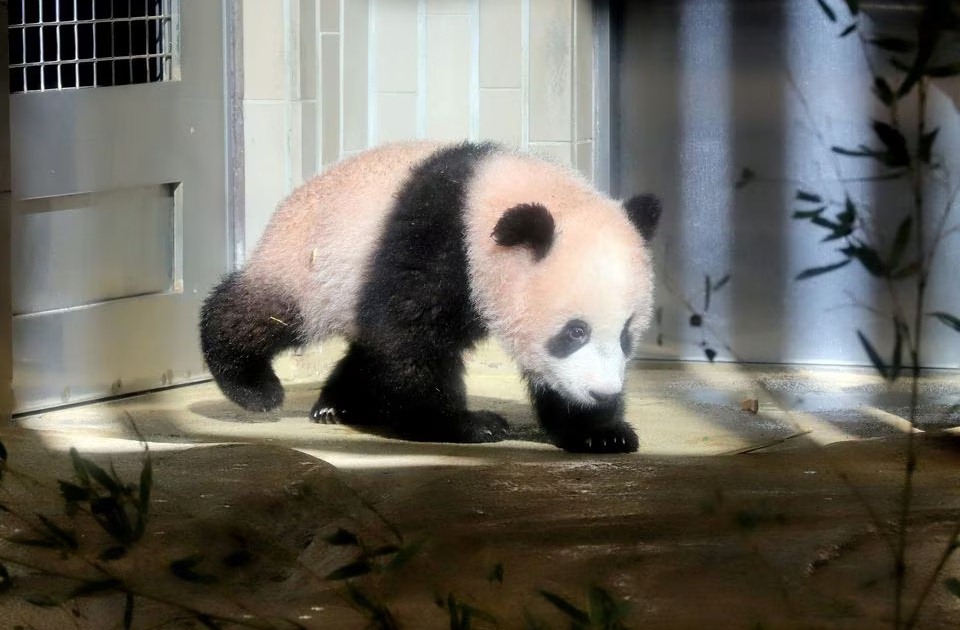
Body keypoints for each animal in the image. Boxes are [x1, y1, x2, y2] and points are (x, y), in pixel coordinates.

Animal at [199, 141, 661, 453]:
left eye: (626, 335)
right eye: (574, 332)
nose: (602, 393)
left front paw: (599, 431)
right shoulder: (435, 239)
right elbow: (410, 338)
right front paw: (467, 425)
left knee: (365, 343)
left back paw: (339, 404)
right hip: (308, 266)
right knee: (262, 314)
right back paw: (253, 386)